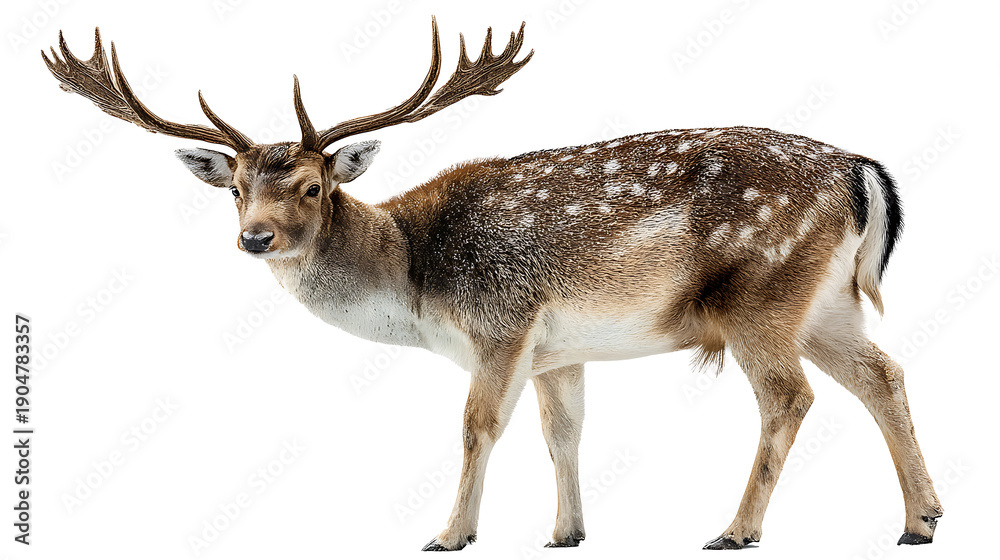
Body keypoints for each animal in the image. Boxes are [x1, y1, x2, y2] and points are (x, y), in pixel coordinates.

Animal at [43, 18, 942, 551]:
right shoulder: (559, 351)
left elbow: (479, 426)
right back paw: (921, 520)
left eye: (311, 186)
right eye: (233, 188)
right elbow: (563, 433)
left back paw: (735, 530)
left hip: (760, 290)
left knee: (790, 395)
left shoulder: (502, 320)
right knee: (885, 373)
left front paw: (449, 534)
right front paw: (566, 532)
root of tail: (863, 171)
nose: (254, 237)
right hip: (825, 300)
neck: (411, 277)